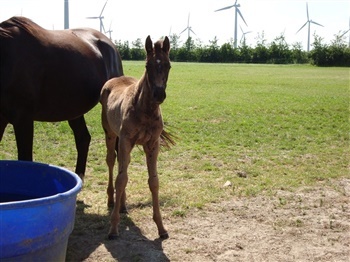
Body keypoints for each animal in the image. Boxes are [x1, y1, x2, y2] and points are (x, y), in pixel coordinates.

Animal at [100, 36, 173, 239]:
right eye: (148, 65)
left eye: (168, 65)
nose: (158, 94)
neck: (145, 109)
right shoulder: (125, 140)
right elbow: (121, 179)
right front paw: (113, 228)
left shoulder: (152, 144)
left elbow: (153, 182)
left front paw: (161, 227)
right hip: (111, 134)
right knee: (112, 162)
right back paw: (112, 200)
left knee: (122, 165)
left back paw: (123, 204)